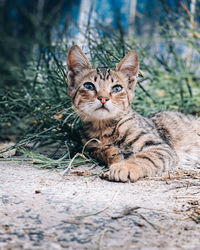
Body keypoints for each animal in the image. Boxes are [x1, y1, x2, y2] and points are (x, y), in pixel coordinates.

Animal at [66, 44, 199, 182]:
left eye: (117, 88)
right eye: (89, 86)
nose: (103, 98)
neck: (104, 128)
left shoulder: (161, 147)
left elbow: (145, 156)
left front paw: (125, 166)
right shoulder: (89, 145)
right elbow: (96, 150)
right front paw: (111, 153)